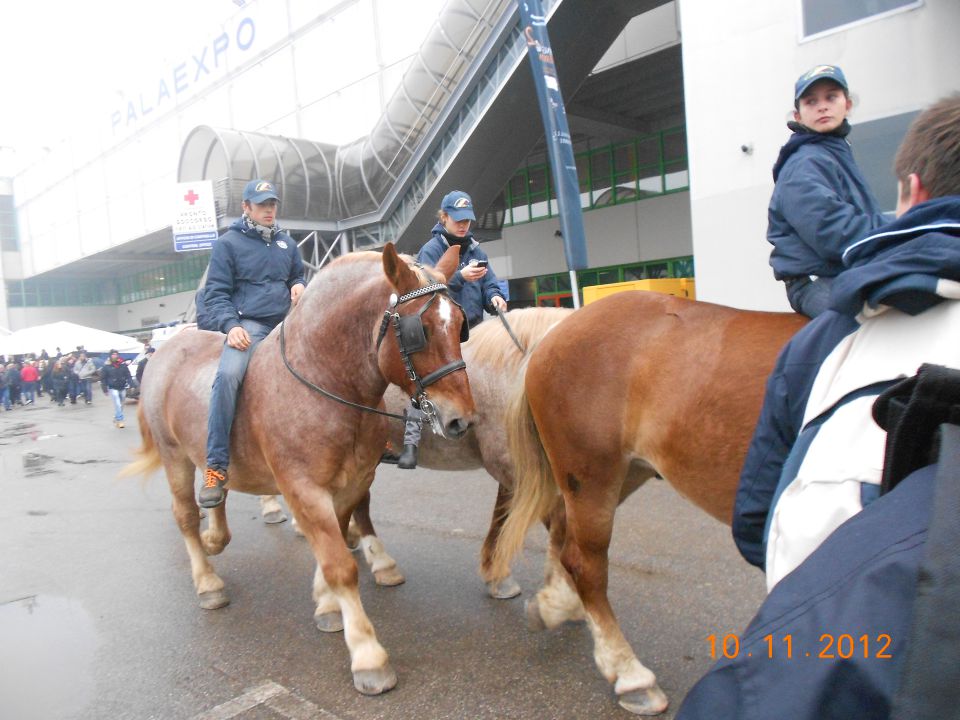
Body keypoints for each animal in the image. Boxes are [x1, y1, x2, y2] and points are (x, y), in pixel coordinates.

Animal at [124, 243, 476, 696]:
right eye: (421, 330)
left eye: (461, 326)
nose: (461, 420)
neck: (323, 380)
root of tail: (166, 349)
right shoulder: (304, 487)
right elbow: (340, 565)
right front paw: (367, 654)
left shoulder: (351, 482)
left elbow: (335, 544)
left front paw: (326, 604)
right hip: (175, 457)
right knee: (184, 515)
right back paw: (207, 580)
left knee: (216, 491)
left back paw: (215, 535)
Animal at [492, 292, 808, 716]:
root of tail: (555, 333)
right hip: (593, 476)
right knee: (585, 563)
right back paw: (630, 675)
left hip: (627, 472)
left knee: (560, 525)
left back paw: (555, 604)